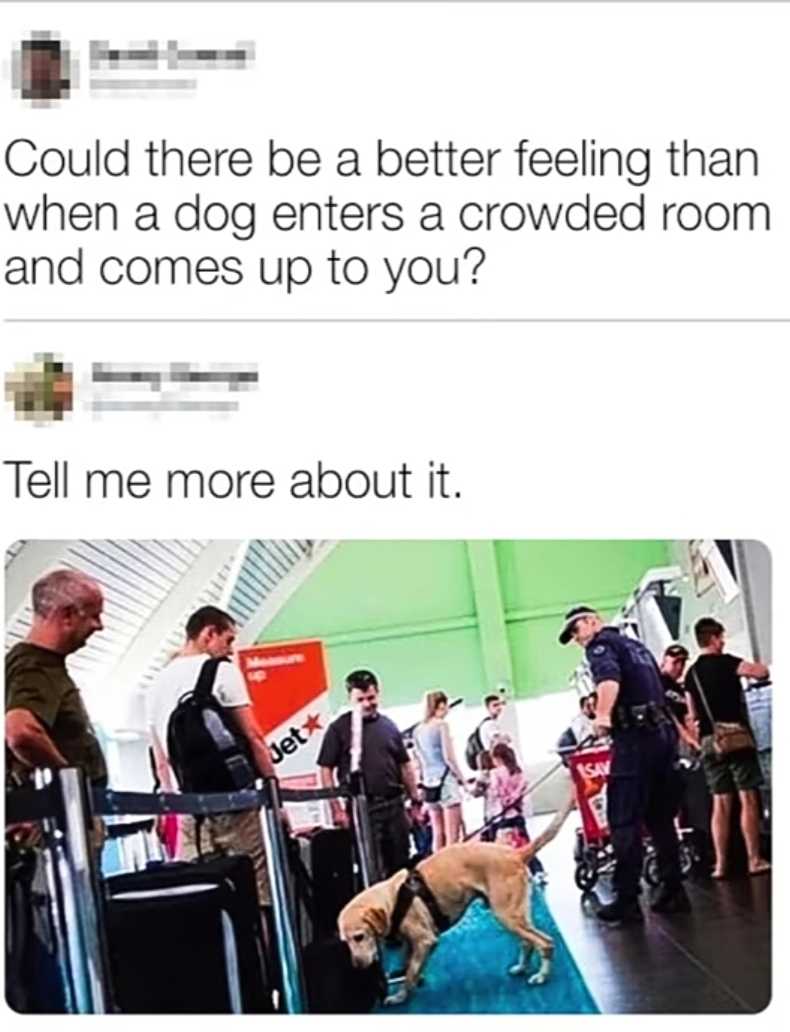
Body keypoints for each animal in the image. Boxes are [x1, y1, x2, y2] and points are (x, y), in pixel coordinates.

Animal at [338, 792, 577, 1003]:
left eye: (359, 937)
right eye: (345, 941)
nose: (357, 966)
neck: (391, 898)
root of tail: (515, 853)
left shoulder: (425, 940)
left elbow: (410, 974)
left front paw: (401, 996)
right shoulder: (411, 942)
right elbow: (409, 965)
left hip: (507, 915)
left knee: (545, 943)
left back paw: (542, 976)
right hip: (515, 916)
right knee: (528, 942)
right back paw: (522, 967)